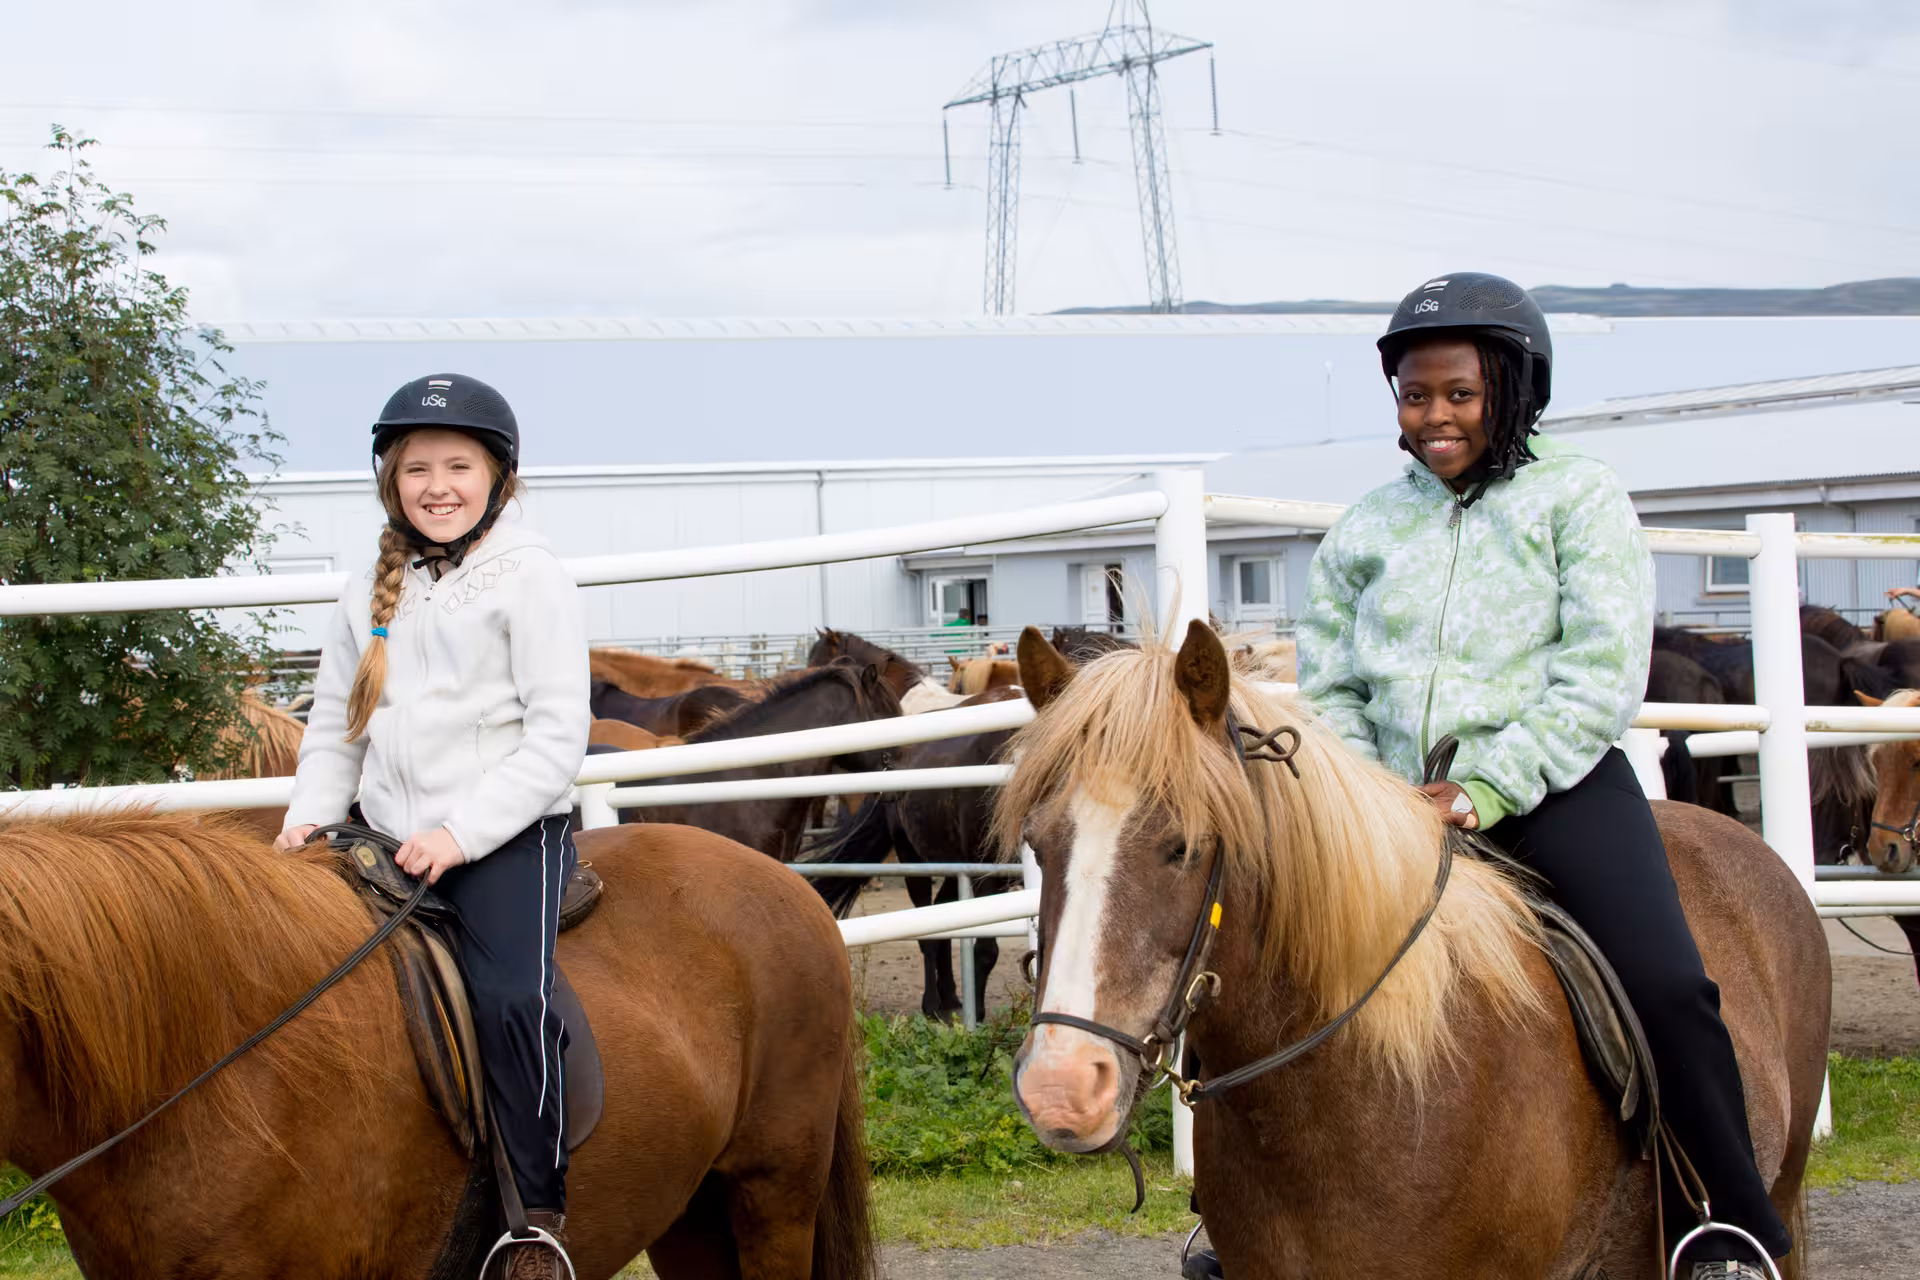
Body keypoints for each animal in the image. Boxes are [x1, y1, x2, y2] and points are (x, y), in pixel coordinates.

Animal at [806, 686, 1026, 1021]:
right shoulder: (984, 871)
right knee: (927, 928)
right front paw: (977, 1014)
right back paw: (933, 1003)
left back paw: (950, 997)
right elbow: (986, 950)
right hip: (913, 859)